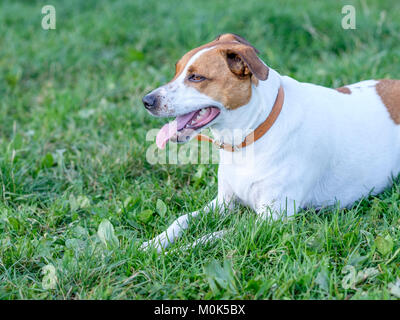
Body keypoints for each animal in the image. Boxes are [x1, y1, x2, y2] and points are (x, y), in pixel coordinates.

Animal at [141, 32, 400, 252]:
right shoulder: (224, 203)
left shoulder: (271, 219)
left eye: (196, 77)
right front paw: (155, 244)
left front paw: (177, 252)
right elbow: (181, 219)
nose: (147, 100)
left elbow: (212, 237)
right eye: (177, 71)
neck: (252, 133)